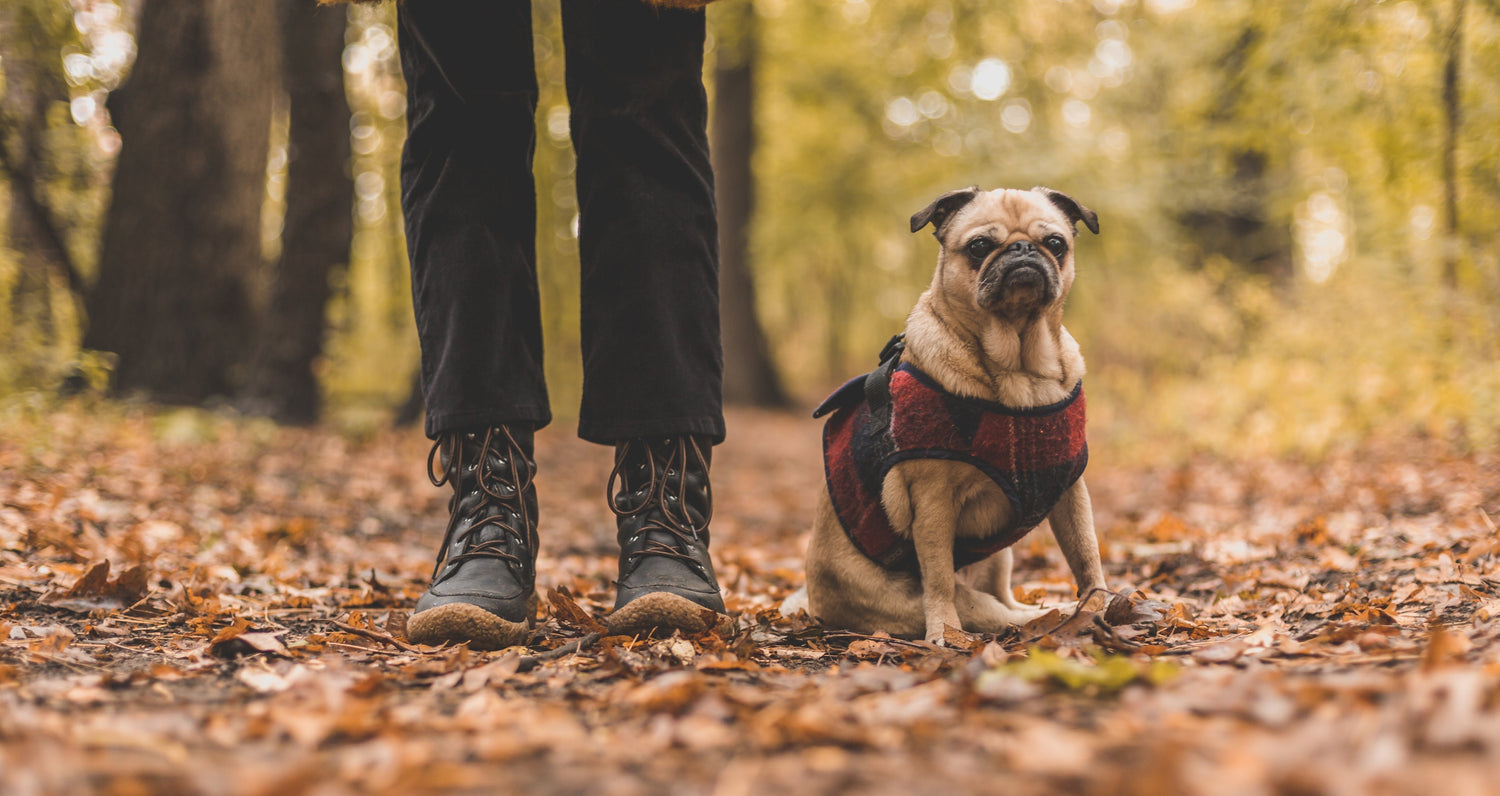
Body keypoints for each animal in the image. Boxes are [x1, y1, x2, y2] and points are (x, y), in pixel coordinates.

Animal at [786, 185, 1104, 641]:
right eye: (979, 247)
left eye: (1055, 243)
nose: (1023, 248)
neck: (1019, 371)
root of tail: (815, 602)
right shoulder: (933, 504)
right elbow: (937, 579)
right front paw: (943, 633)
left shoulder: (1070, 491)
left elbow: (1086, 553)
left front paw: (1101, 601)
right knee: (994, 610)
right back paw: (1049, 615)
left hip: (999, 558)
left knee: (1006, 597)